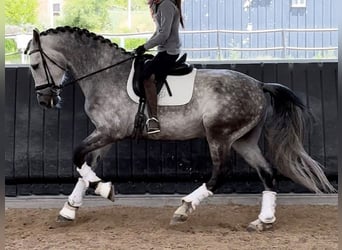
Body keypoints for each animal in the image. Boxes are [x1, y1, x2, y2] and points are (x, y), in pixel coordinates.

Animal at [25, 26, 336, 231]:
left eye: (35, 63)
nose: (44, 100)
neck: (105, 73)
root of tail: (259, 85)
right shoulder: (106, 135)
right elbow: (84, 167)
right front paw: (69, 210)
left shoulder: (110, 132)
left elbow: (77, 157)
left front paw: (105, 190)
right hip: (243, 140)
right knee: (267, 173)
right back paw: (263, 221)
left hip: (219, 135)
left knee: (220, 173)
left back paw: (183, 209)